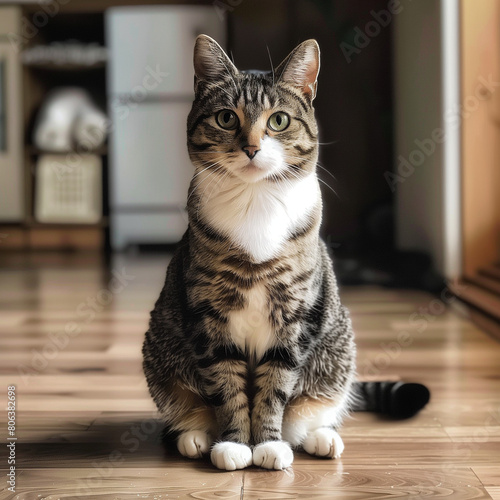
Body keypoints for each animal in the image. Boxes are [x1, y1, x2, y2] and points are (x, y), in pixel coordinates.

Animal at [143, 34, 358, 468]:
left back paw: (321, 438)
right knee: (187, 406)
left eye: (279, 121)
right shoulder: (209, 317)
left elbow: (275, 385)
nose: (252, 148)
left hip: (335, 350)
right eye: (227, 118)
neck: (255, 201)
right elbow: (227, 386)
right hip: (162, 356)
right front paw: (235, 444)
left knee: (308, 414)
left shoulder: (295, 315)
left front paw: (268, 444)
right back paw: (195, 437)